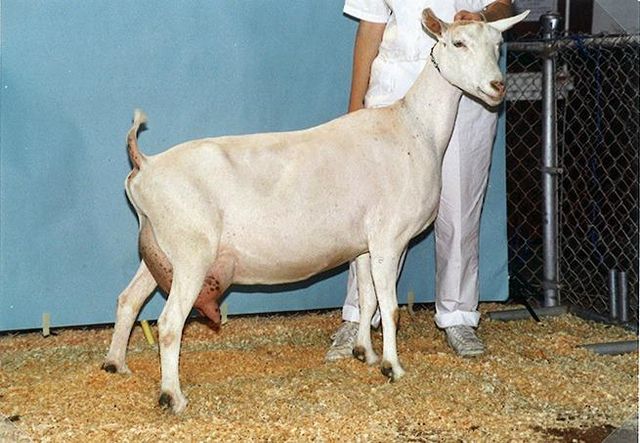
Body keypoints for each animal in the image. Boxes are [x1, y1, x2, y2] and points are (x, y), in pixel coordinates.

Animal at [103, 9, 528, 413]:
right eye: (458, 43)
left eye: (498, 45)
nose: (498, 86)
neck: (415, 128)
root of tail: (145, 165)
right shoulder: (390, 238)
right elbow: (390, 308)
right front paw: (393, 367)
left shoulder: (364, 245)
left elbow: (368, 300)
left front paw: (365, 353)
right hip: (192, 252)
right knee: (169, 322)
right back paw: (172, 396)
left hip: (158, 248)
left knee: (127, 299)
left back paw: (115, 364)